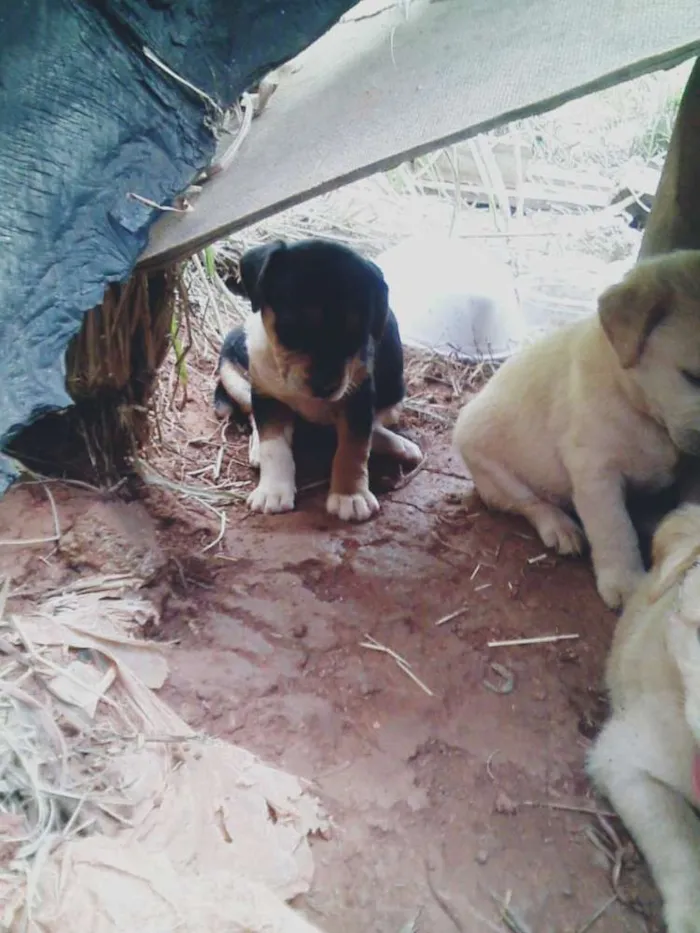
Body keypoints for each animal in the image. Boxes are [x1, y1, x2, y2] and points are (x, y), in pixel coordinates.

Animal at [213, 237, 422, 520]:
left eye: (356, 334)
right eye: (290, 328)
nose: (325, 387)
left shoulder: (358, 395)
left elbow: (354, 447)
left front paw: (349, 496)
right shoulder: (265, 395)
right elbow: (273, 445)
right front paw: (273, 491)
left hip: (395, 395)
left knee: (374, 426)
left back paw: (401, 446)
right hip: (232, 373)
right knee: (252, 416)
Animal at [454, 251, 700, 608]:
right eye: (692, 377)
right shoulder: (595, 471)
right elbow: (615, 529)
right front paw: (625, 583)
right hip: (493, 469)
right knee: (530, 503)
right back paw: (560, 527)